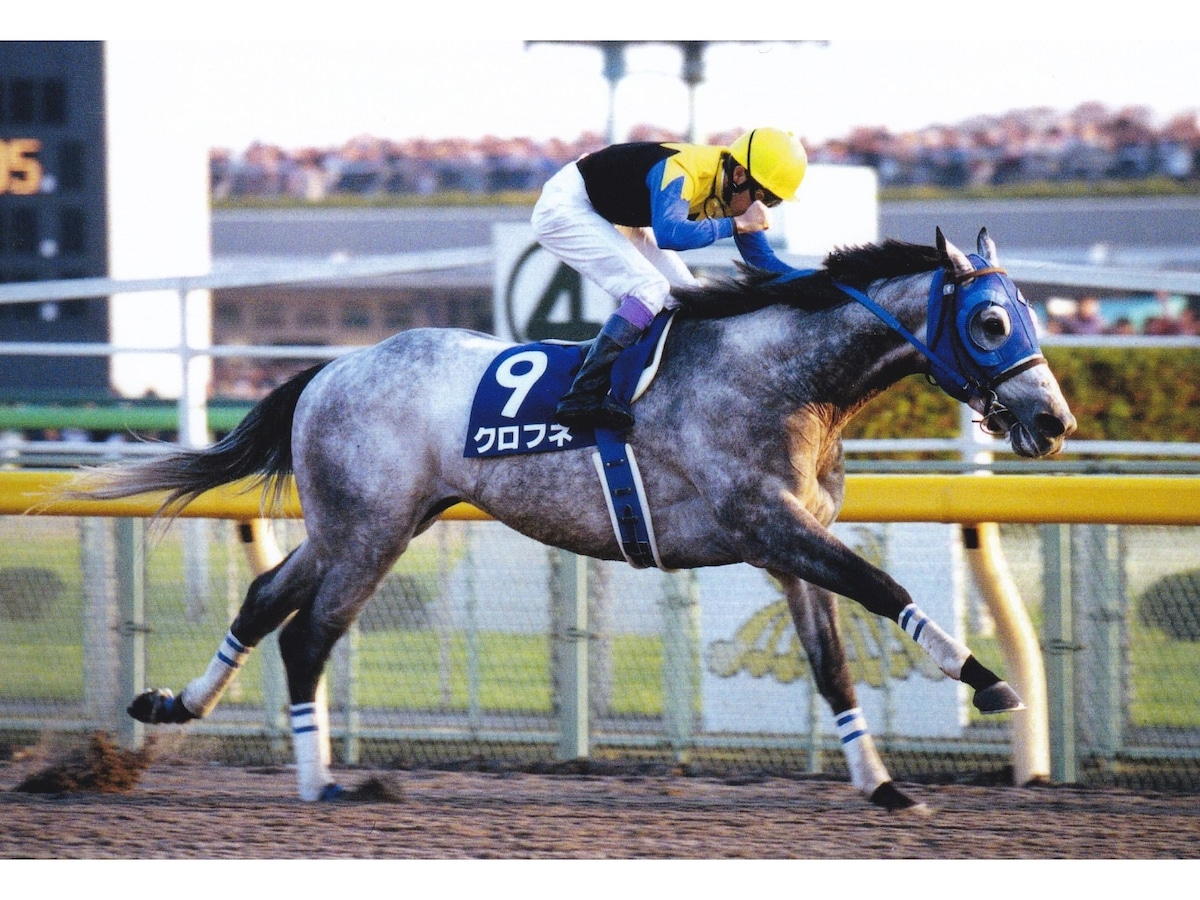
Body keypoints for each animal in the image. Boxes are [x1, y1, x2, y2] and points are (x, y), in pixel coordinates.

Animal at [74, 228, 1075, 812]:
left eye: (1029, 312)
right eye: (991, 321)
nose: (1054, 420)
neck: (787, 377)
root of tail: (330, 368)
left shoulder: (784, 547)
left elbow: (830, 661)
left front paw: (882, 783)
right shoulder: (769, 522)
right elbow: (881, 581)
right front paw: (988, 682)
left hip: (358, 524)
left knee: (263, 598)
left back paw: (173, 704)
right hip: (371, 531)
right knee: (308, 634)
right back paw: (324, 781)